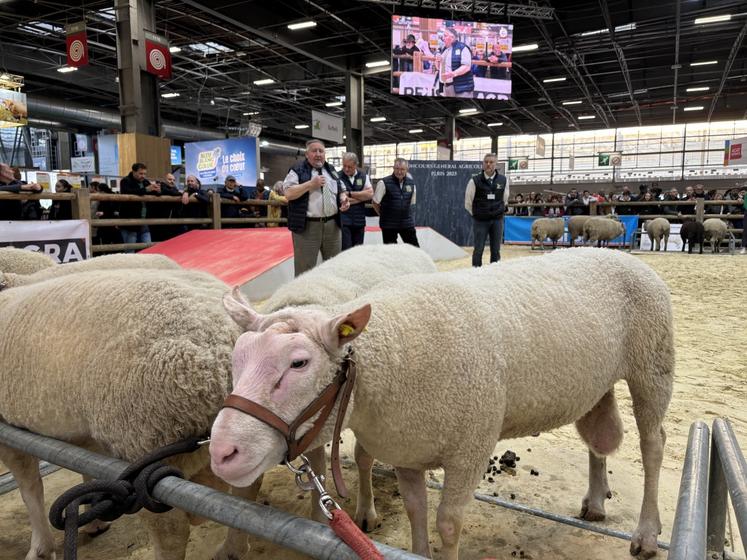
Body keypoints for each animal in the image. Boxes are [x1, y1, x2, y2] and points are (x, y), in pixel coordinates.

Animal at [209, 248, 672, 560]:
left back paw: (647, 534)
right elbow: (416, 511)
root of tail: (618, 251)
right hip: (594, 382)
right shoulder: (407, 449)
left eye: (299, 363)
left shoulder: (472, 445)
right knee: (598, 438)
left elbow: (448, 524)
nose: (222, 452)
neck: (394, 351)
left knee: (653, 445)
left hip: (653, 362)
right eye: (237, 356)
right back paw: (595, 501)